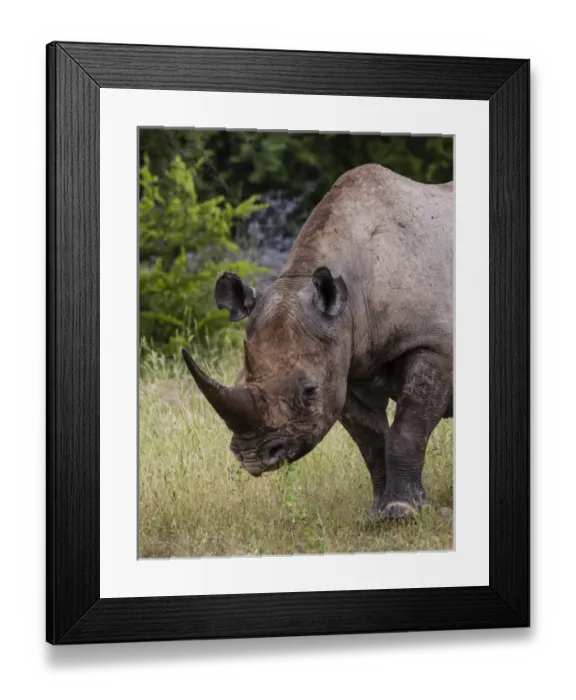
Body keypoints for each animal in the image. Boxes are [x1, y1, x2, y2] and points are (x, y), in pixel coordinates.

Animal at [182, 164, 453, 519]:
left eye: (309, 391)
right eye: (239, 379)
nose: (252, 457)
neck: (351, 300)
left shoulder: (432, 344)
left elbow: (407, 430)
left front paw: (402, 512)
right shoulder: (343, 363)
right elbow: (372, 440)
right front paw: (377, 514)